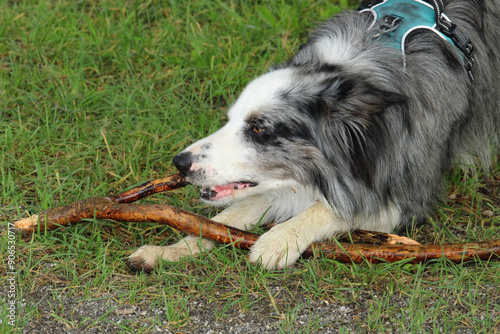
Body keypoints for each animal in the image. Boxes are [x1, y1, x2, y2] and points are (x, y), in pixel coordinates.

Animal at [128, 0, 500, 272]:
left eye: (259, 129)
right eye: (230, 119)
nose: (179, 163)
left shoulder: (407, 192)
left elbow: (331, 209)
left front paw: (276, 241)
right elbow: (225, 218)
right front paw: (167, 251)